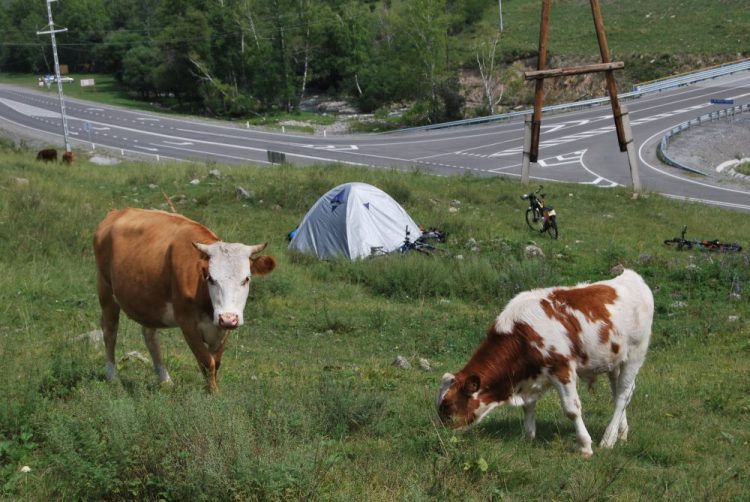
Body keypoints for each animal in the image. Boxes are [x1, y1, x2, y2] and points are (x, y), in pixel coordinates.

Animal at [94, 208, 276, 392]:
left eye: (246, 279)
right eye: (211, 278)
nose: (227, 318)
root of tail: (118, 212)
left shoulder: (224, 328)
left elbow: (216, 362)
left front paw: (213, 390)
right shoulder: (186, 322)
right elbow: (206, 361)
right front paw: (212, 394)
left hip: (148, 301)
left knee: (150, 337)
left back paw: (165, 381)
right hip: (106, 291)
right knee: (110, 331)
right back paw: (112, 377)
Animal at [438, 268, 656, 456]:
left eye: (448, 406)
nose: (440, 435)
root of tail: (631, 276)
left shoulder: (562, 368)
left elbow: (571, 409)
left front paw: (585, 446)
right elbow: (528, 406)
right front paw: (527, 438)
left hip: (635, 354)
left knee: (622, 395)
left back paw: (608, 439)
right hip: (614, 360)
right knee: (619, 391)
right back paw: (621, 433)